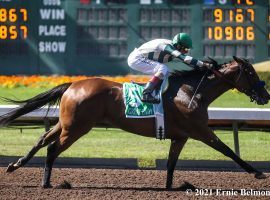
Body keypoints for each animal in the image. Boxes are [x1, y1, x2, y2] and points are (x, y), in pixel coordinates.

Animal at [0, 56, 268, 189]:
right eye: (251, 73)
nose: (265, 95)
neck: (192, 92)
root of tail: (73, 84)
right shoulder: (201, 130)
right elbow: (229, 151)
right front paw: (257, 172)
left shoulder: (181, 136)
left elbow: (171, 164)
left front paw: (171, 187)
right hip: (77, 127)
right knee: (53, 148)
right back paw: (47, 183)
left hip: (66, 124)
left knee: (42, 139)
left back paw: (15, 165)